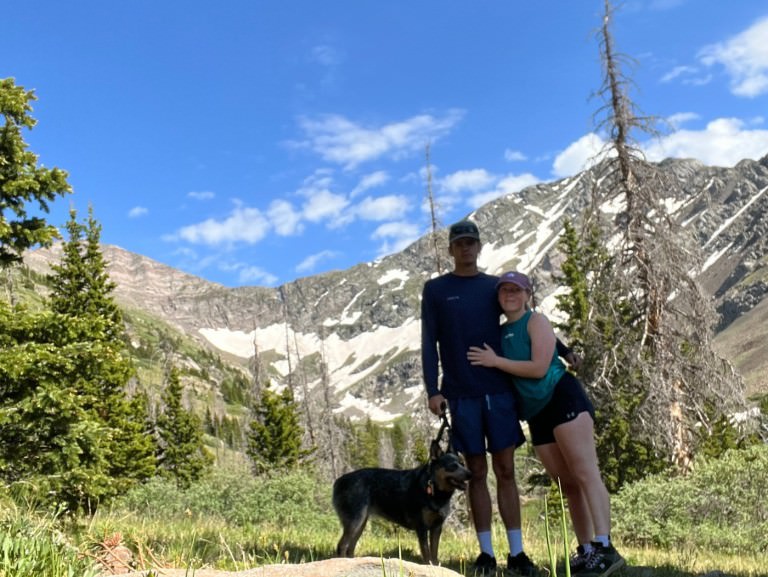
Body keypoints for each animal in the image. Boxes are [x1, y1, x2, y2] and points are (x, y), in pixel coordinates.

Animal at [332, 436, 472, 564]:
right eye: (452, 466)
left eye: (462, 463)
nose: (470, 474)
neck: (434, 489)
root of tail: (339, 481)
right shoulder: (422, 528)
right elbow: (426, 554)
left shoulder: (437, 527)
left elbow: (434, 553)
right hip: (355, 521)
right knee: (342, 545)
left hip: (360, 523)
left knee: (350, 547)